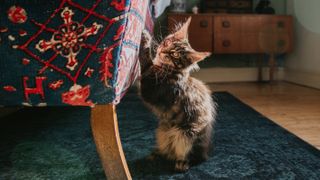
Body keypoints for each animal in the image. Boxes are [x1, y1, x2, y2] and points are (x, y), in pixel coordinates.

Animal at [138, 17, 216, 172]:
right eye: (167, 42)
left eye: (174, 55)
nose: (162, 50)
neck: (169, 70)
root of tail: (205, 152)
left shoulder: (150, 90)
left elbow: (146, 60)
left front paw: (145, 38)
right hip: (162, 131)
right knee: (167, 150)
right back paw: (156, 154)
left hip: (186, 134)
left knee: (188, 155)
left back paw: (182, 163)